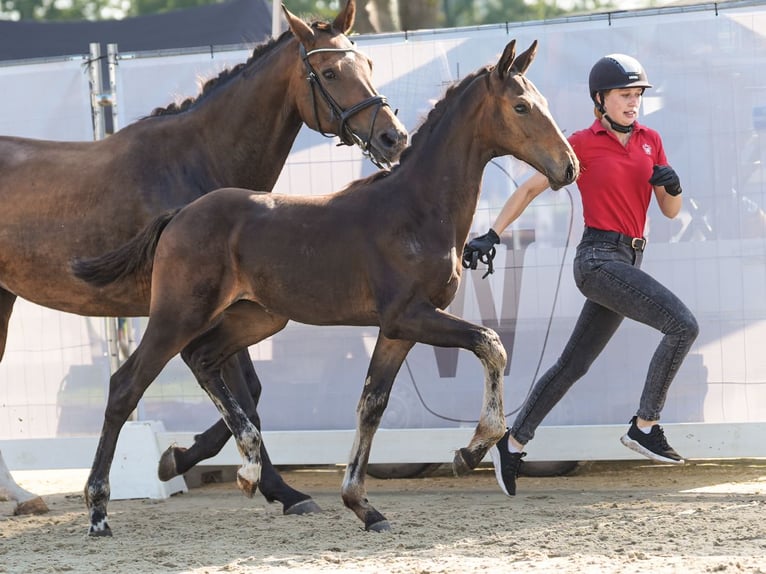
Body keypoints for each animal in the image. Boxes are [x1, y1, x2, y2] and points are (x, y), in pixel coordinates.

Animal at [0, 0, 408, 520]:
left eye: (369, 65)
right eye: (330, 72)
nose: (394, 138)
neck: (192, 161)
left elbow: (249, 392)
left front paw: (186, 460)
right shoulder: (202, 311)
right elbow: (245, 398)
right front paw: (264, 484)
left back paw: (20, 495)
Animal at [73, 39, 584, 536]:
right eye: (521, 106)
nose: (569, 167)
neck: (416, 209)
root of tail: (180, 214)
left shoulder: (397, 330)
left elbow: (371, 405)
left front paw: (364, 506)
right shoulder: (410, 315)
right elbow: (491, 344)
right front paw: (472, 449)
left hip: (257, 317)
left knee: (202, 361)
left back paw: (245, 470)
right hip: (178, 314)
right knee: (126, 386)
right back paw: (99, 511)